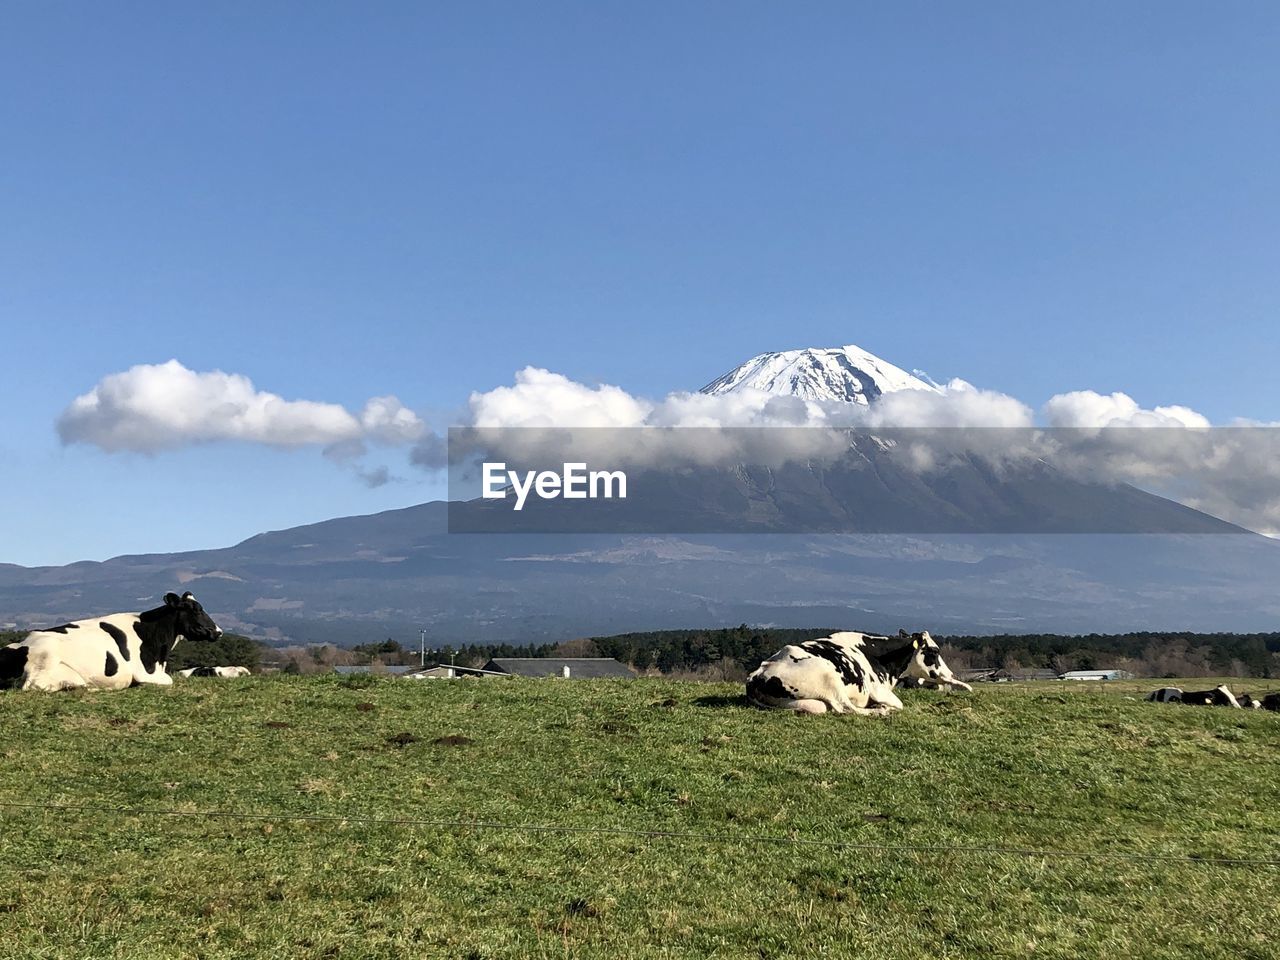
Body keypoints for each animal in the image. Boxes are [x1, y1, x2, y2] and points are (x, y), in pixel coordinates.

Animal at [0, 591, 221, 696]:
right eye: (196, 609)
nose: (218, 631)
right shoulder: (144, 672)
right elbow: (169, 680)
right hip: (47, 660)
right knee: (34, 686)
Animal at [747, 632, 962, 716]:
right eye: (934, 652)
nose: (951, 673)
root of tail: (758, 673)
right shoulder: (877, 689)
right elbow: (899, 704)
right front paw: (883, 706)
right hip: (830, 680)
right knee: (846, 708)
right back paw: (880, 711)